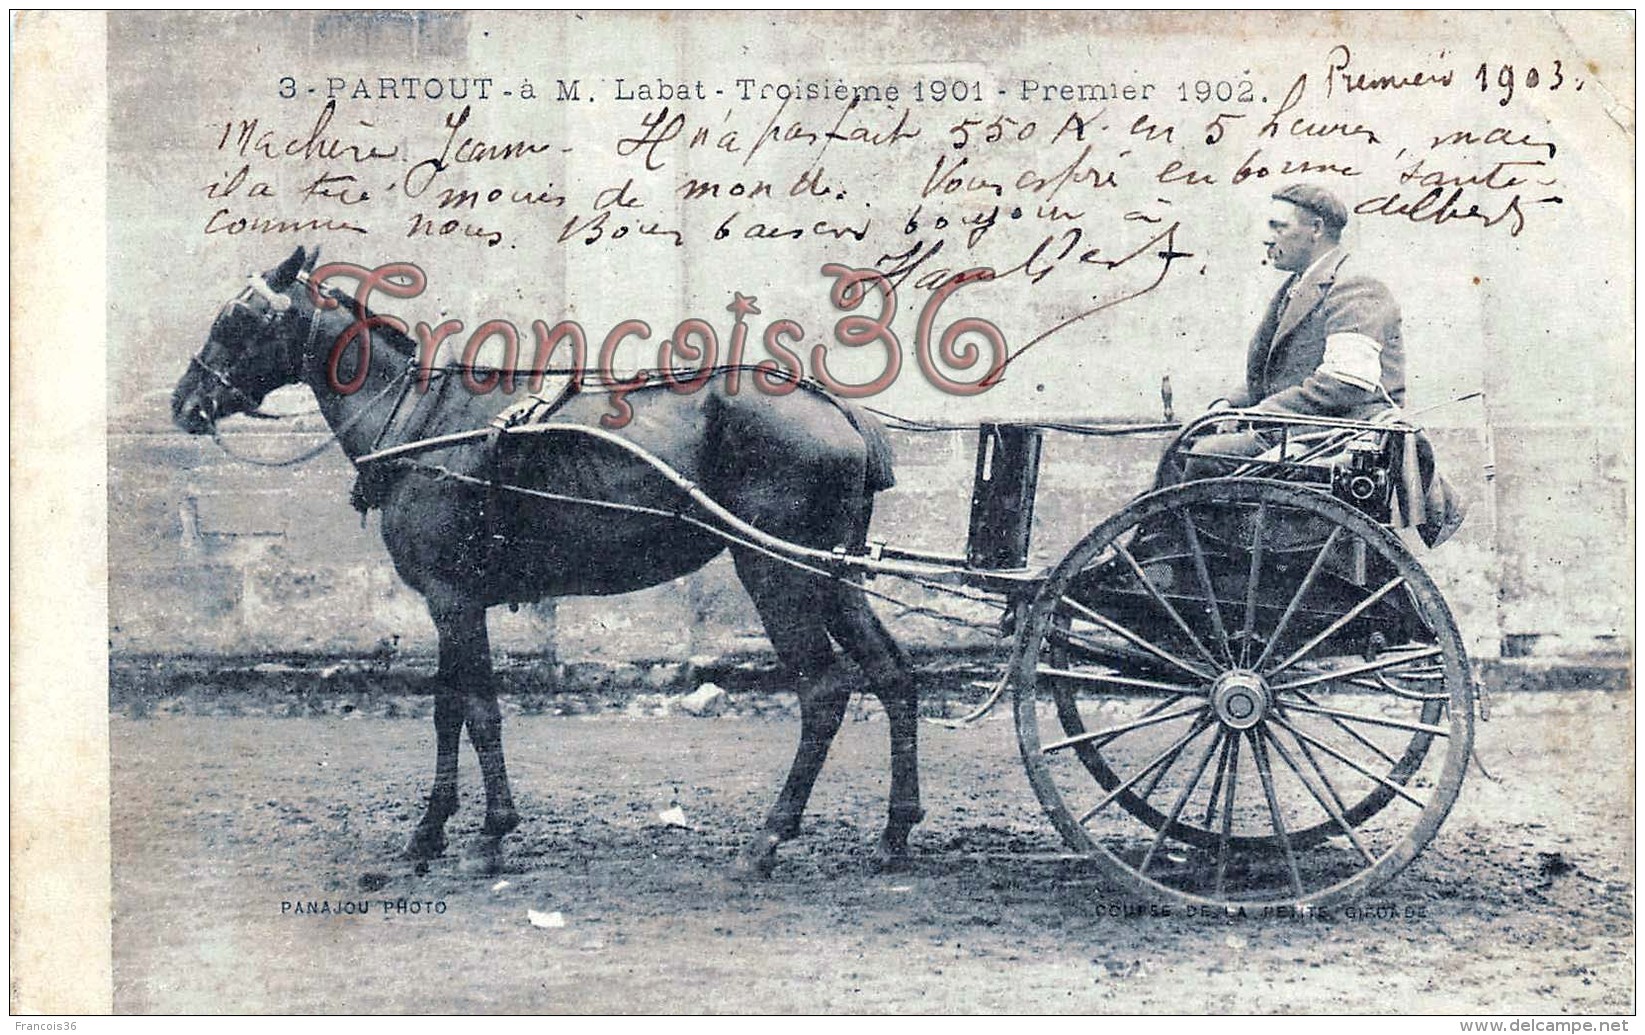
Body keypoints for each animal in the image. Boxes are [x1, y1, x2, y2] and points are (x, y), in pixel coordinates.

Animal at [176, 246, 927, 875]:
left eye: (238, 317)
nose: (185, 403)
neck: (423, 424)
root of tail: (833, 408)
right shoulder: (451, 602)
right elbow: (448, 707)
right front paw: (431, 831)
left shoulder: (452, 599)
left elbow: (478, 709)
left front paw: (490, 832)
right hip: (834, 574)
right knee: (893, 675)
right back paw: (894, 833)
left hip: (777, 572)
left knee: (823, 692)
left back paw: (770, 837)